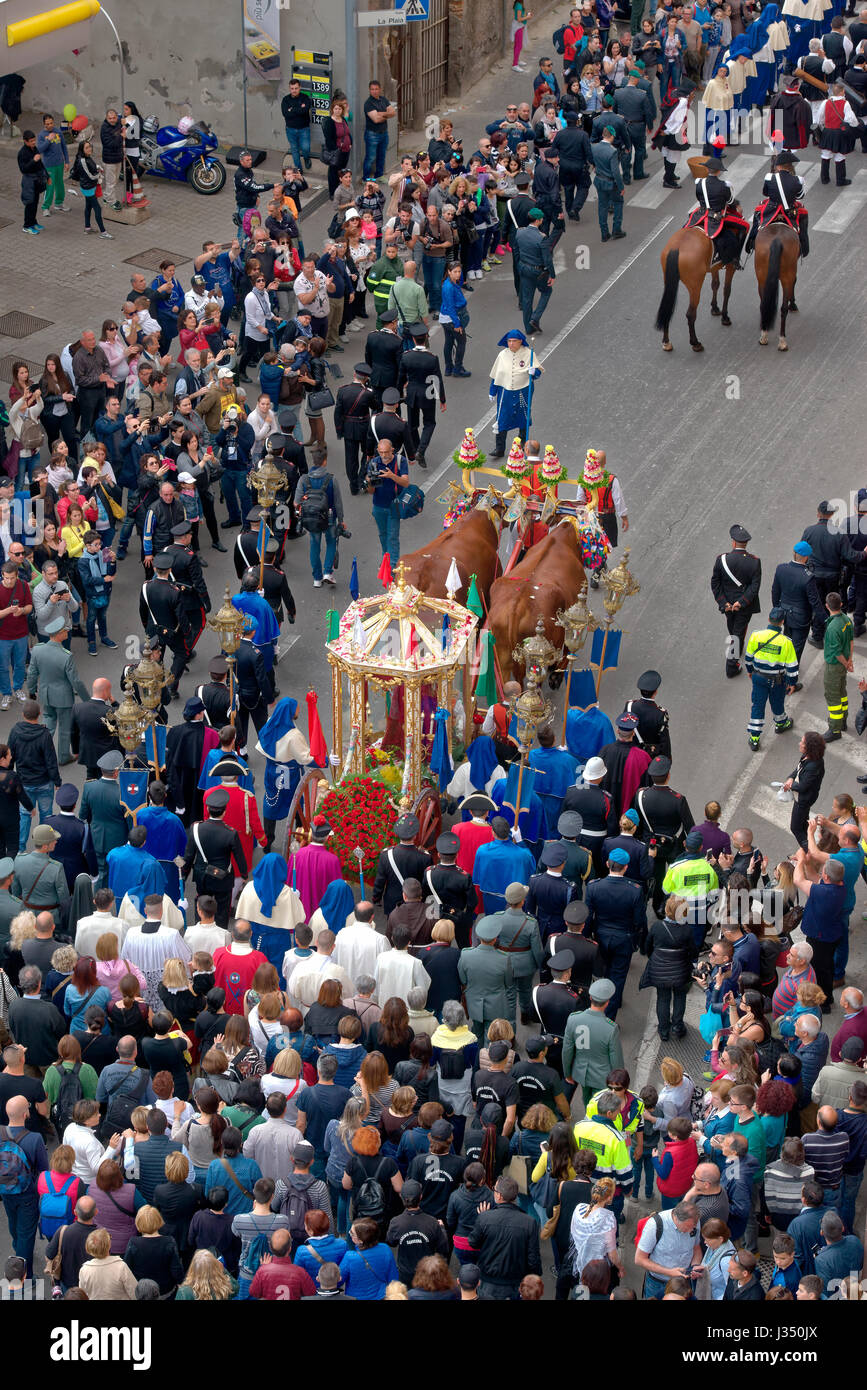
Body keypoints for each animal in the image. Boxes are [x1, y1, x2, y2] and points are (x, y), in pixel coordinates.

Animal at [755, 222, 800, 350]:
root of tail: (777, 240)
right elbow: (795, 281)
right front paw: (793, 305)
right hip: (787, 276)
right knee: (783, 308)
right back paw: (782, 341)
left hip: (762, 277)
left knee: (763, 305)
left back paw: (764, 335)